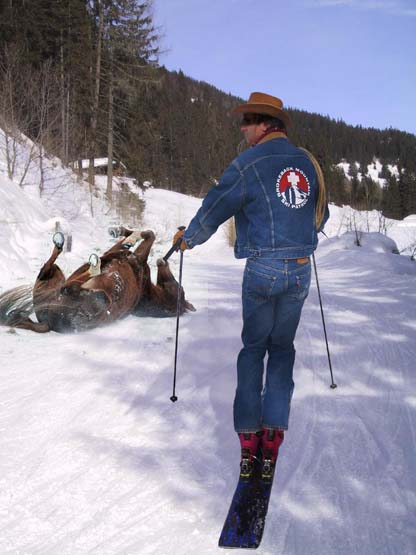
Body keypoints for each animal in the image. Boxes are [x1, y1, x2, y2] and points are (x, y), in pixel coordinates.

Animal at [0, 227, 195, 332]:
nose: (163, 261)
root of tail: (51, 323)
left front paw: (129, 236)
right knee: (57, 273)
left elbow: (148, 236)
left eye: (179, 288)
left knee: (63, 281)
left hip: (86, 293)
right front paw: (119, 231)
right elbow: (136, 238)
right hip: (56, 281)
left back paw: (89, 263)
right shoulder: (127, 256)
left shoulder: (134, 258)